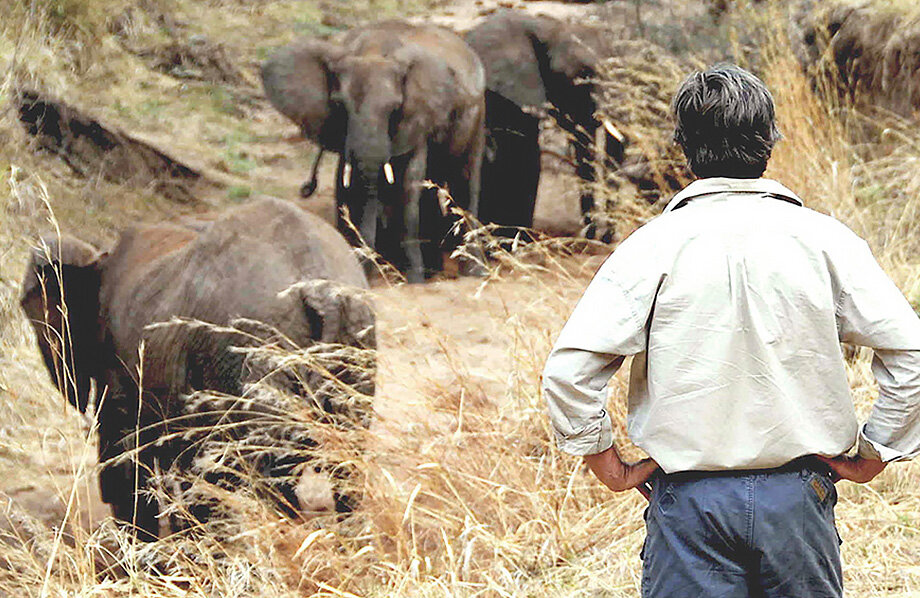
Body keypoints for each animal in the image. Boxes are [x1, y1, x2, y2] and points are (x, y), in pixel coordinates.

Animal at [258, 21, 488, 284]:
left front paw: (413, 281)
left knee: (466, 180)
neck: (373, 52)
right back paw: (435, 272)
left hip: (477, 113)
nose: (306, 188)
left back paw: (472, 273)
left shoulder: (417, 117)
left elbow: (408, 185)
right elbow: (348, 183)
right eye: (339, 105)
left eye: (394, 108)